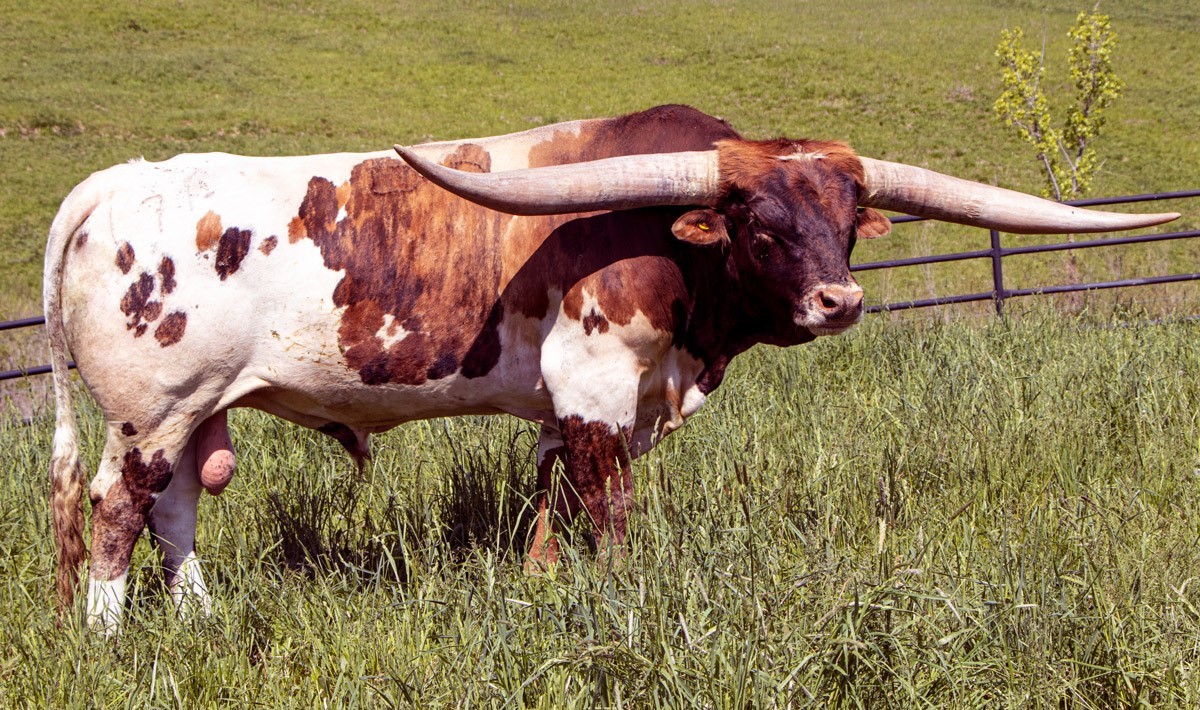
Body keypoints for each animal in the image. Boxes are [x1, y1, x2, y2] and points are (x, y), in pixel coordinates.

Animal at [44, 105, 1177, 631]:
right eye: (759, 223)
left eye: (850, 218)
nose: (841, 301)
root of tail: (111, 184)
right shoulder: (595, 391)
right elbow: (610, 508)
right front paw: (620, 592)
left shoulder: (599, 402)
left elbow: (559, 502)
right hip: (147, 410)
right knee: (115, 507)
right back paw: (108, 633)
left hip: (198, 409)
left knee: (175, 509)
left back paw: (201, 617)